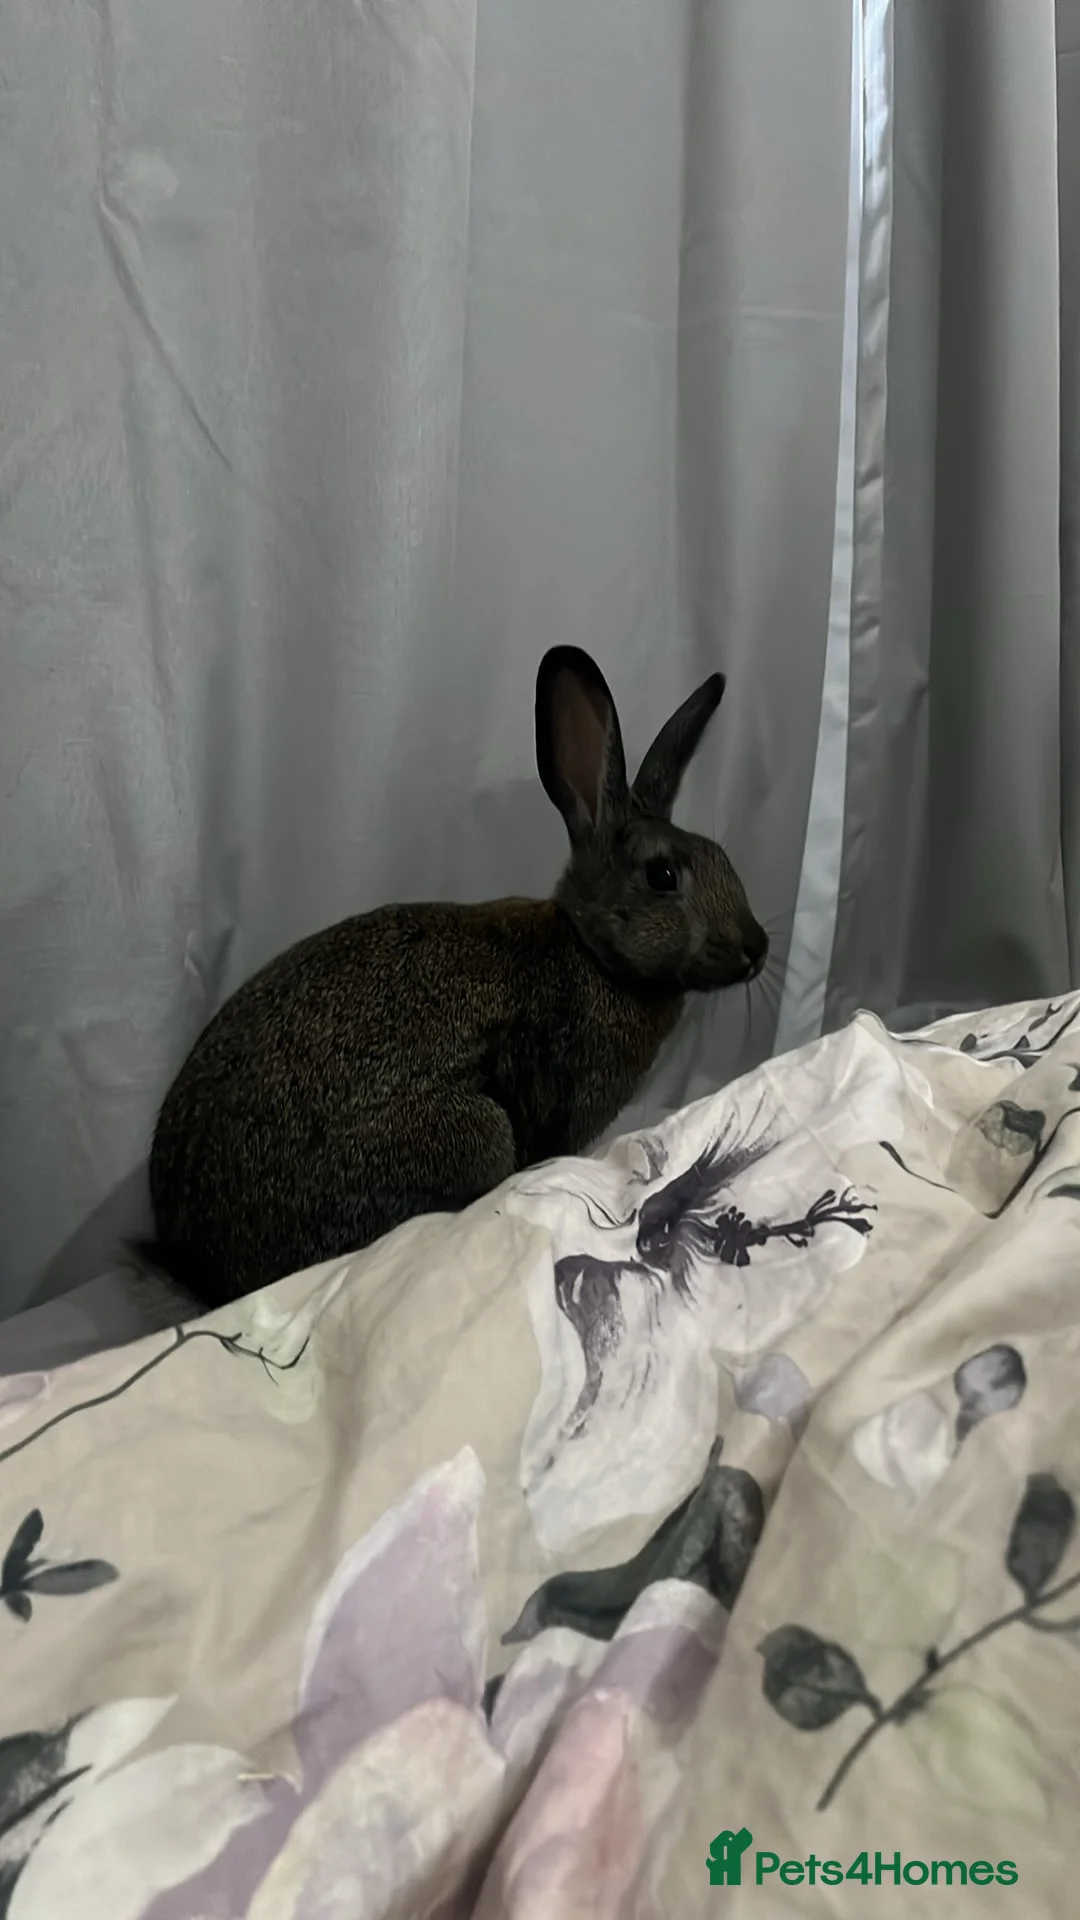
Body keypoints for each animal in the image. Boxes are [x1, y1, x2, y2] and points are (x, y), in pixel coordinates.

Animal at [144, 646, 768, 1307]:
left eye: (721, 858)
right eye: (663, 876)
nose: (758, 948)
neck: (590, 953)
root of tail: (197, 1262)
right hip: (470, 1134)